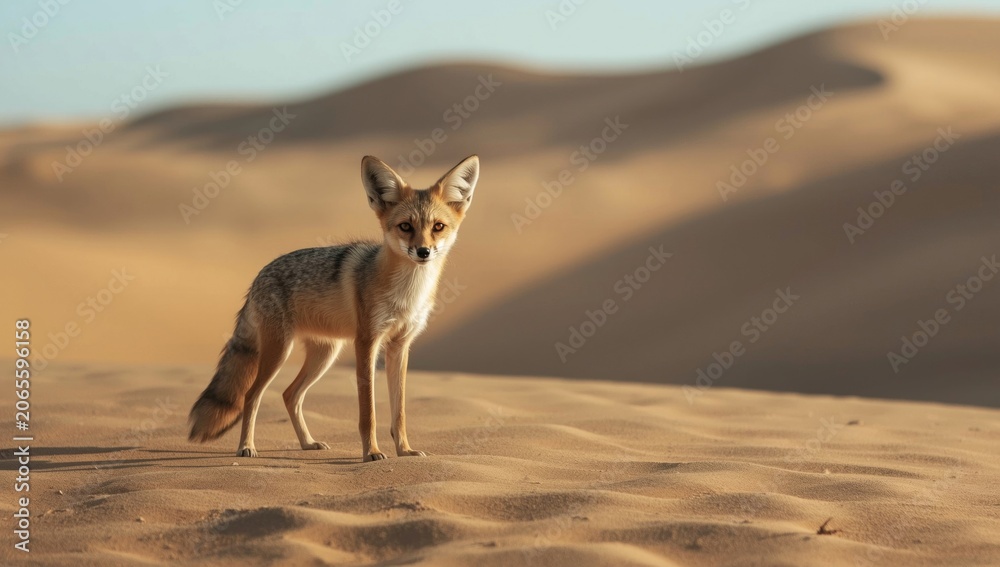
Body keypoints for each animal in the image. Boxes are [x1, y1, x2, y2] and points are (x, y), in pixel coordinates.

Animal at [188, 154, 479, 462]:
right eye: (405, 227)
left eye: (438, 227)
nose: (423, 252)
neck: (406, 294)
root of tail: (259, 275)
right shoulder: (366, 342)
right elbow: (368, 413)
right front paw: (371, 453)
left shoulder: (400, 346)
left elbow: (399, 413)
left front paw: (405, 451)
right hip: (279, 352)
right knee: (251, 395)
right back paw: (246, 446)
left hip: (324, 355)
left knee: (290, 395)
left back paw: (307, 443)